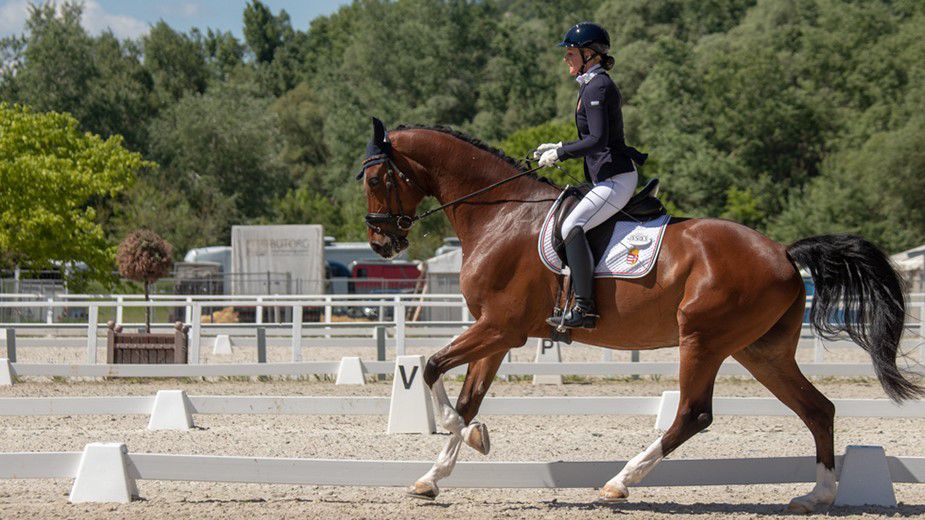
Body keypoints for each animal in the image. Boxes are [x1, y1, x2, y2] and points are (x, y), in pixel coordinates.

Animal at [354, 118, 916, 512]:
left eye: (378, 178)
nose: (382, 242)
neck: (500, 214)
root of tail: (781, 251)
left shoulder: (499, 327)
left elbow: (431, 369)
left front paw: (469, 437)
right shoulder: (496, 333)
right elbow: (468, 397)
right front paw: (434, 475)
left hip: (702, 340)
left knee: (694, 414)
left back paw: (619, 483)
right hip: (761, 351)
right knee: (818, 409)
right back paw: (817, 496)